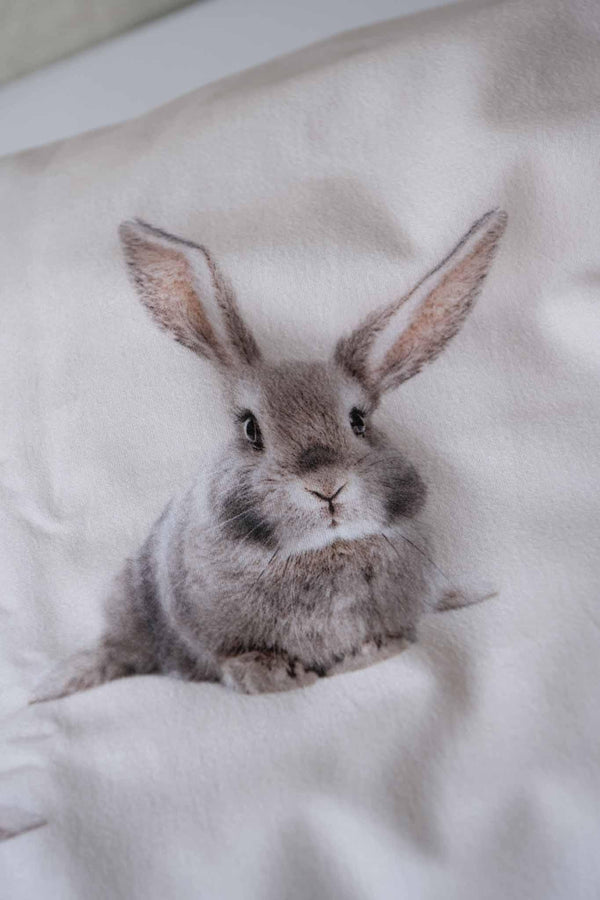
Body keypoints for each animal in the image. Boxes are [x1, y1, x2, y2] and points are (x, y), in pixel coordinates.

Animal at [34, 207, 507, 701]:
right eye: (250, 428)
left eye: (359, 421)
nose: (326, 486)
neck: (321, 550)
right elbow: (235, 655)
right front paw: (270, 675)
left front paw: (371, 653)